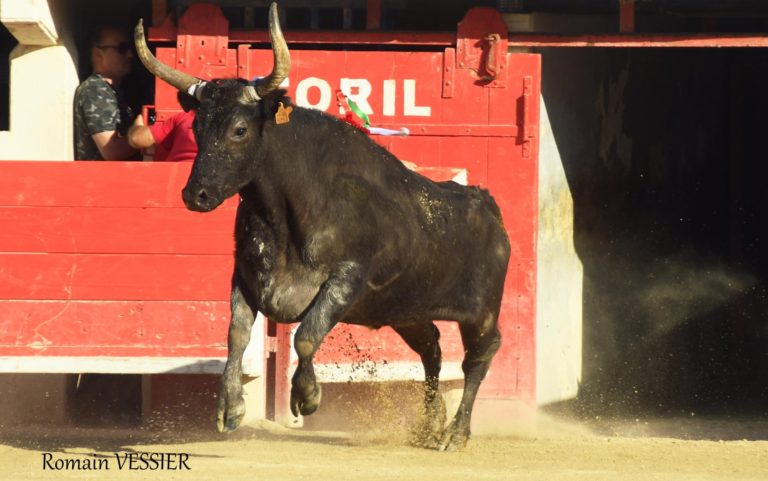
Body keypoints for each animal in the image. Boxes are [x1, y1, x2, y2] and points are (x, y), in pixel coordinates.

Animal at [138, 6, 510, 454]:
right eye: (196, 130)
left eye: (239, 130)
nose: (196, 194)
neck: (283, 219)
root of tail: (487, 204)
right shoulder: (245, 279)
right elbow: (236, 336)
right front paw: (230, 408)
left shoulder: (347, 279)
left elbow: (305, 335)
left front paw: (307, 396)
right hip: (406, 309)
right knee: (433, 350)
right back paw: (430, 422)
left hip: (481, 312)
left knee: (478, 358)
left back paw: (455, 433)